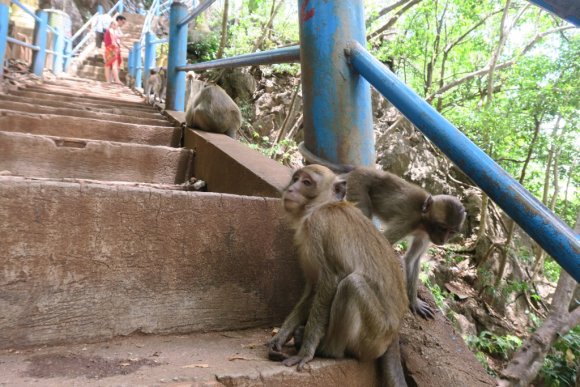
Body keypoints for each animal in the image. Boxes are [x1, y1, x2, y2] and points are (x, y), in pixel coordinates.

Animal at [268, 164, 408, 387]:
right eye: (296, 179)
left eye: (307, 183)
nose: (291, 189)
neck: (323, 206)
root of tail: (393, 334)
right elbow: (314, 288)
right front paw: (281, 336)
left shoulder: (319, 226)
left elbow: (330, 281)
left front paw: (306, 352)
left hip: (374, 336)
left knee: (352, 284)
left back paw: (326, 350)